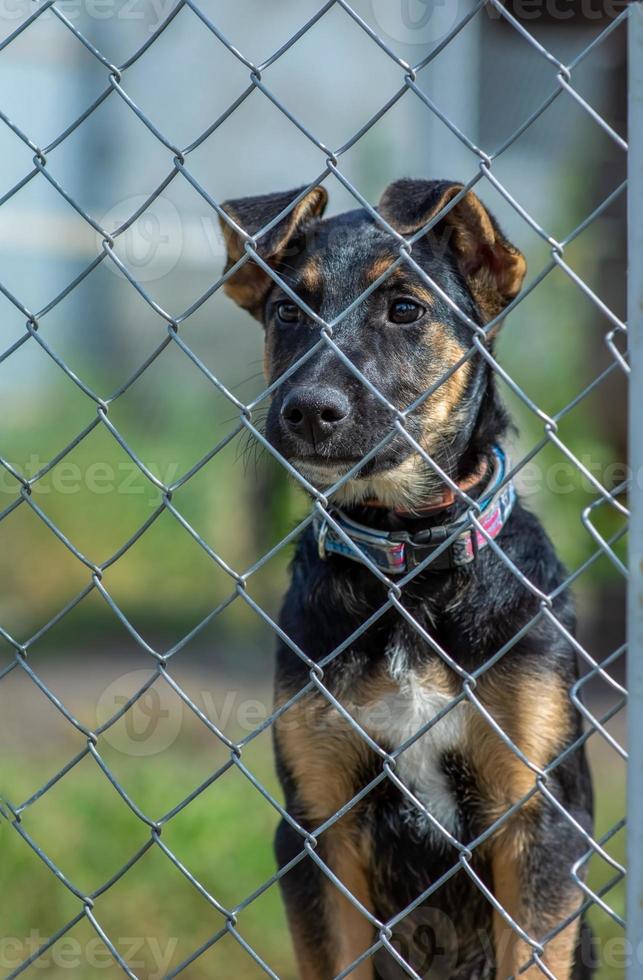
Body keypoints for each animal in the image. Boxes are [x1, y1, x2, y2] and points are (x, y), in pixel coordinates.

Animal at [218, 178, 592, 980]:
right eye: (287, 312)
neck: (408, 569)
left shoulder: (537, 822)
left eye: (404, 310)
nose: (309, 411)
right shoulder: (317, 826)